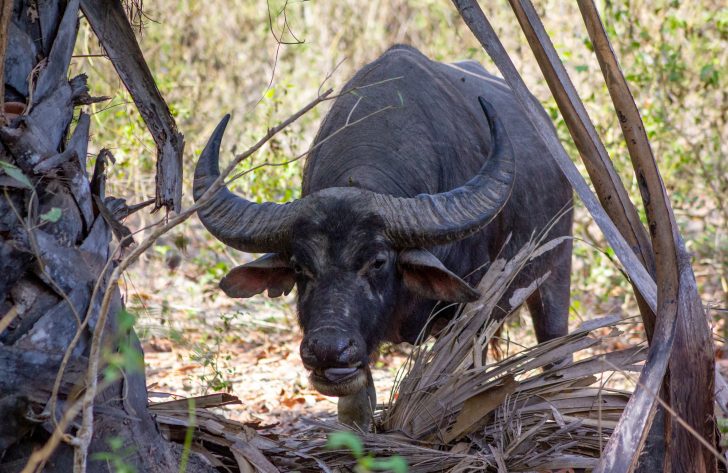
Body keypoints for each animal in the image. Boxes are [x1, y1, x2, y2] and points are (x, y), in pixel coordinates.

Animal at [195, 45, 576, 428]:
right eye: (300, 267)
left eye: (377, 261)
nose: (328, 350)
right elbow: (355, 404)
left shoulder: (468, 317)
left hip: (555, 270)